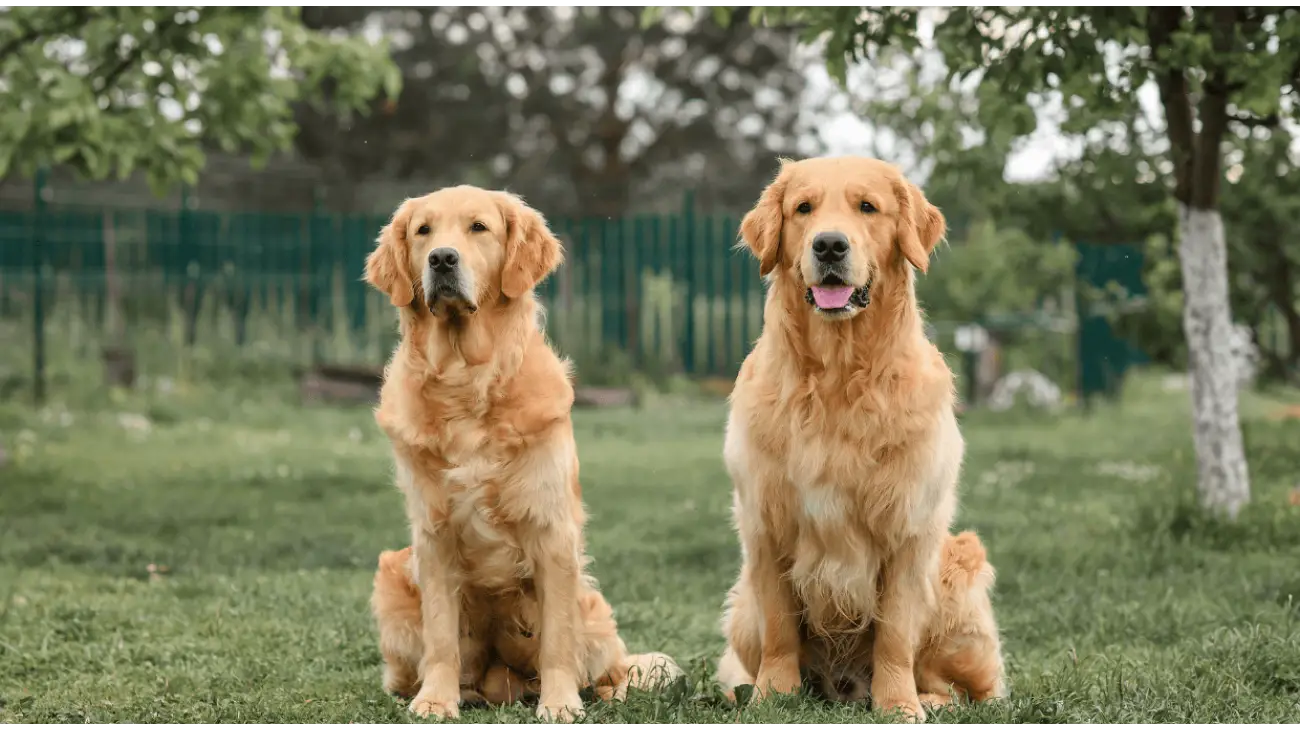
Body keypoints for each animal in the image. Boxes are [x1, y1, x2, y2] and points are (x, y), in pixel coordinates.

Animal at [358, 184, 676, 717]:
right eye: (423, 231)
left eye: (478, 228)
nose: (442, 259)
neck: (467, 379)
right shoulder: (433, 535)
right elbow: (441, 636)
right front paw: (436, 702)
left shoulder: (552, 532)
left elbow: (558, 641)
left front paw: (561, 705)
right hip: (392, 580)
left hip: (592, 607)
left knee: (609, 666)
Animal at [712, 156, 1003, 717]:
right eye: (803, 208)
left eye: (868, 207)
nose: (829, 245)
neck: (837, 377)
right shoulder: (764, 524)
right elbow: (780, 628)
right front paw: (770, 700)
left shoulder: (909, 530)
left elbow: (895, 634)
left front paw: (900, 707)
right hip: (740, 612)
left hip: (960, 573)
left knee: (978, 691)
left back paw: (932, 700)